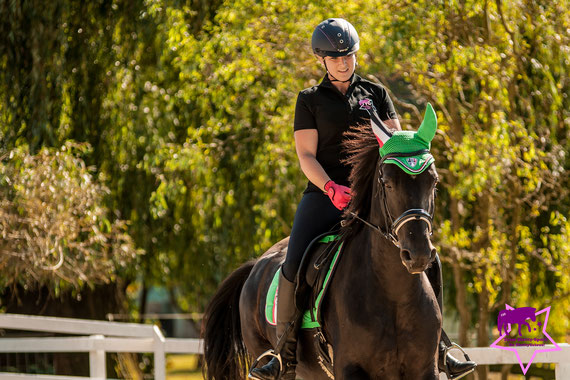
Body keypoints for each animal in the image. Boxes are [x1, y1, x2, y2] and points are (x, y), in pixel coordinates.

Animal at [202, 109, 442, 378]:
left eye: (433, 181)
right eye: (388, 183)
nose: (418, 254)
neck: (394, 295)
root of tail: (256, 266)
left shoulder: (425, 369)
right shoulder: (349, 368)